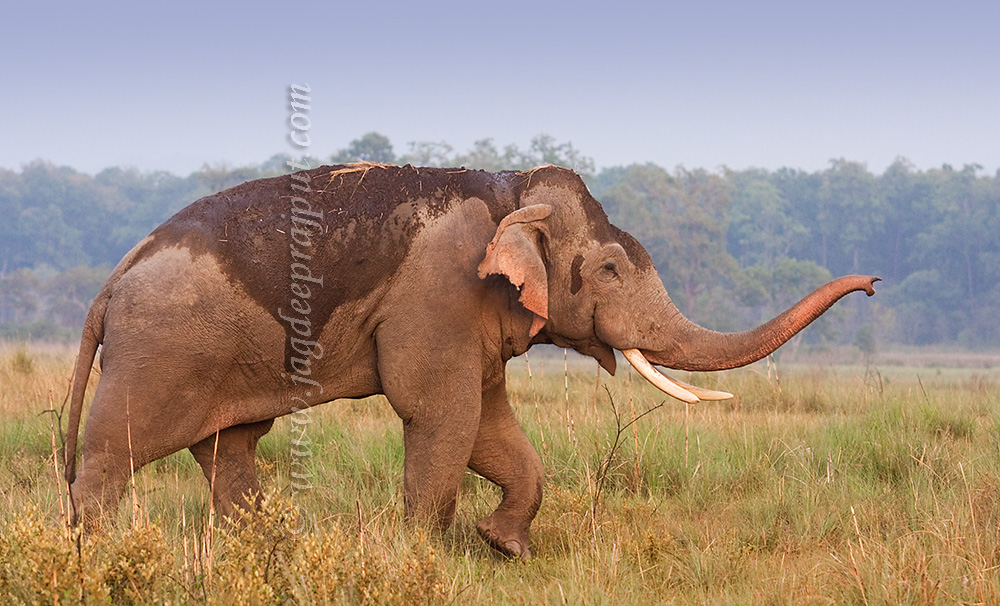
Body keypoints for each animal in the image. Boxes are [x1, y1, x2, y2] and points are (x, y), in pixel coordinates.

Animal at [64, 163, 877, 559]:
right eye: (610, 270)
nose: (871, 284)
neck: (509, 192)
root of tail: (108, 284)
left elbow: (490, 423)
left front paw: (504, 547)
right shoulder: (440, 294)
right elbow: (442, 413)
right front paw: (425, 555)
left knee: (230, 450)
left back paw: (256, 551)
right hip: (158, 354)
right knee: (112, 454)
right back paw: (94, 556)